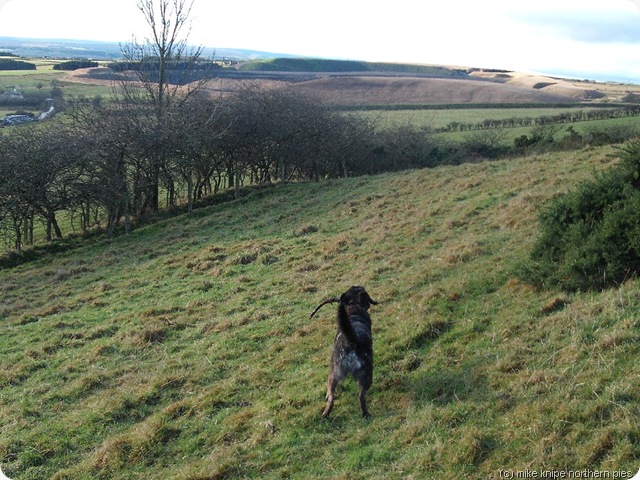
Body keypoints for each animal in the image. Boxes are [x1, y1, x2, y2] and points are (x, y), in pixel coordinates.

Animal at [309, 285, 379, 418]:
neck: (354, 307)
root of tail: (352, 341)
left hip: (333, 374)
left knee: (332, 397)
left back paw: (325, 414)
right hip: (365, 376)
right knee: (361, 396)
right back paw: (366, 414)